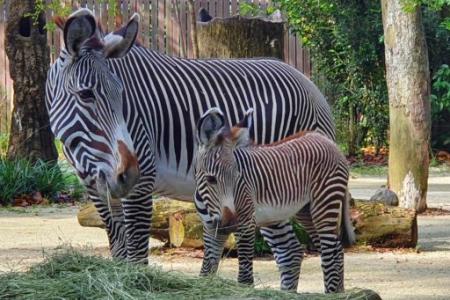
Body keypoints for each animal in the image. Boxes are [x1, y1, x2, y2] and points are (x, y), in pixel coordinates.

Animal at [46, 8, 334, 290]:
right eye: (86, 94)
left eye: (122, 95)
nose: (128, 175)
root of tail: (309, 84)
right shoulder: (97, 190)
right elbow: (118, 251)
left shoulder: (140, 186)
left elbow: (136, 257)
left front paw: (135, 283)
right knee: (290, 252)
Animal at [193, 108, 356, 292]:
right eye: (211, 179)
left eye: (236, 178)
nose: (230, 223)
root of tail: (327, 140)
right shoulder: (211, 228)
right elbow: (206, 270)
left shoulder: (246, 223)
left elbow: (245, 277)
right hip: (306, 211)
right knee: (336, 250)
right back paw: (339, 293)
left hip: (325, 204)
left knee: (329, 254)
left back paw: (331, 293)